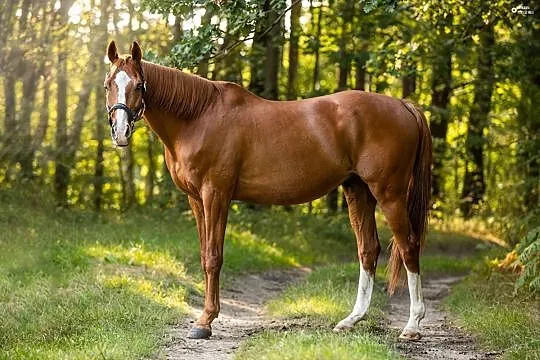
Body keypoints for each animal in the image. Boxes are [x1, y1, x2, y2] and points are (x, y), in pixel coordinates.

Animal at [104, 41, 434, 340]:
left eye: (138, 85)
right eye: (109, 84)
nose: (120, 132)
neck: (198, 117)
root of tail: (404, 105)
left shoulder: (216, 195)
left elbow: (213, 257)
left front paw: (205, 321)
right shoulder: (196, 199)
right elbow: (203, 254)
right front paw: (205, 318)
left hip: (389, 194)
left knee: (408, 246)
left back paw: (412, 326)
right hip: (358, 190)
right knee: (368, 249)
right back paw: (351, 320)